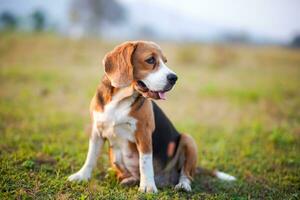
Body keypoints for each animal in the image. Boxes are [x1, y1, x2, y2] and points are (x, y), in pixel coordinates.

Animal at [68, 40, 234, 192]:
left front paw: (147, 186)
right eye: (150, 60)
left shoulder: (144, 134)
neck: (120, 98)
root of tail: (165, 180)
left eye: (165, 61)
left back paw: (182, 185)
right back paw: (128, 179)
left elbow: (145, 162)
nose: (174, 78)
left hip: (188, 140)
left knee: (186, 174)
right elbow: (91, 157)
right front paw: (81, 176)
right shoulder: (96, 131)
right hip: (114, 156)